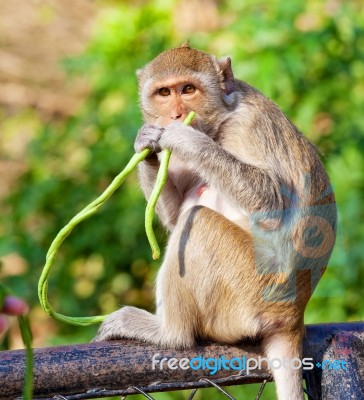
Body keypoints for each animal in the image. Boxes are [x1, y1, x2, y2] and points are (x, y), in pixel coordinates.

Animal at [93, 43, 336, 400]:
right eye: (164, 93)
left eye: (188, 90)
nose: (176, 115)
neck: (222, 117)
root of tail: (294, 317)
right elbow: (174, 213)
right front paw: (146, 143)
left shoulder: (248, 126)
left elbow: (271, 202)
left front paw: (186, 138)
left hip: (251, 295)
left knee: (200, 223)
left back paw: (169, 334)